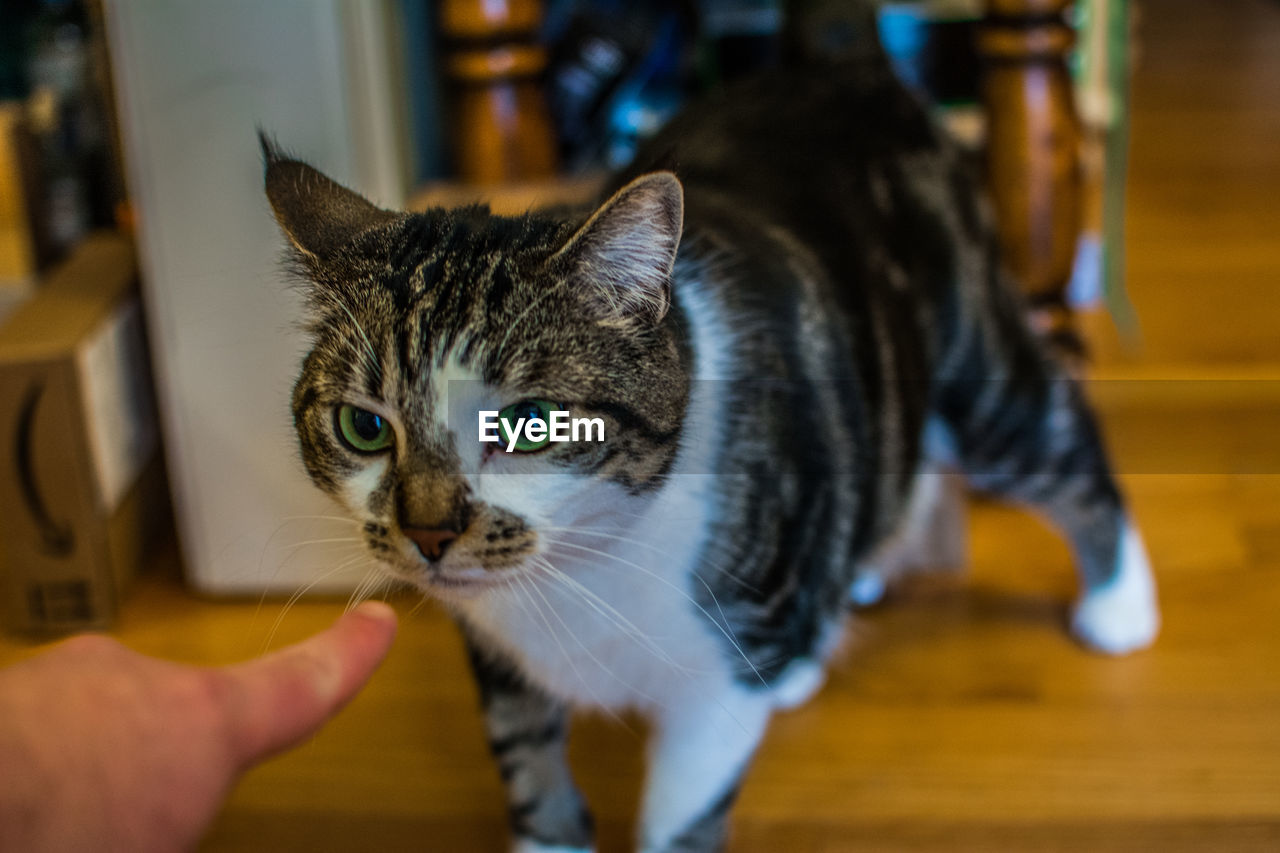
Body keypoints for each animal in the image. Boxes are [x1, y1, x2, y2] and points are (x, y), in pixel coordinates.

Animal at [259, 48, 1162, 853]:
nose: (428, 533)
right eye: (365, 426)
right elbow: (528, 763)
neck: (583, 569)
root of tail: (841, 62)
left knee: (1054, 434)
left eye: (532, 421)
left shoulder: (716, 684)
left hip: (976, 359)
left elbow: (684, 804)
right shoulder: (498, 651)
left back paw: (1118, 602)